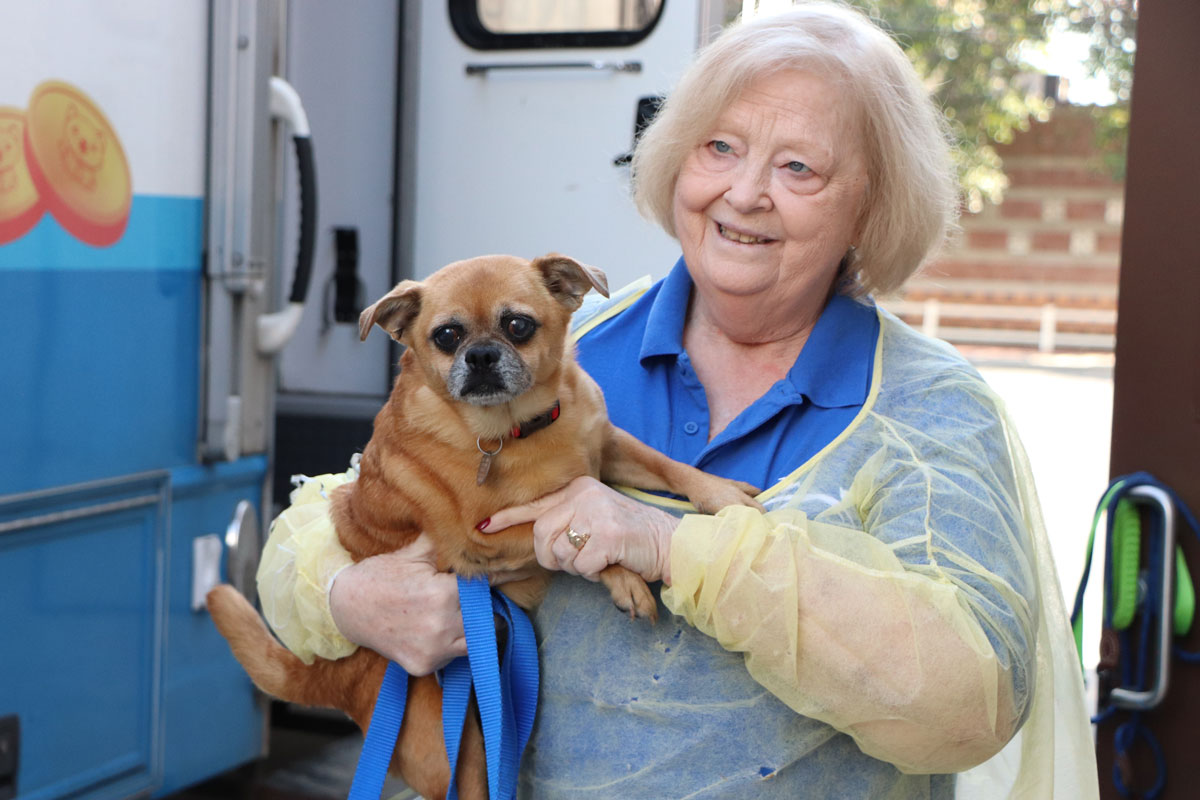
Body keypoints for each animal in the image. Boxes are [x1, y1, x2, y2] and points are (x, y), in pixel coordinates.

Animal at [201, 255, 753, 800]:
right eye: (446, 335)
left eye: (518, 326)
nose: (482, 356)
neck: (517, 430)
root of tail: (336, 673)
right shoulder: (484, 537)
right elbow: (561, 524)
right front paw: (626, 579)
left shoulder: (609, 445)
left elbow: (663, 467)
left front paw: (720, 493)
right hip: (457, 750)